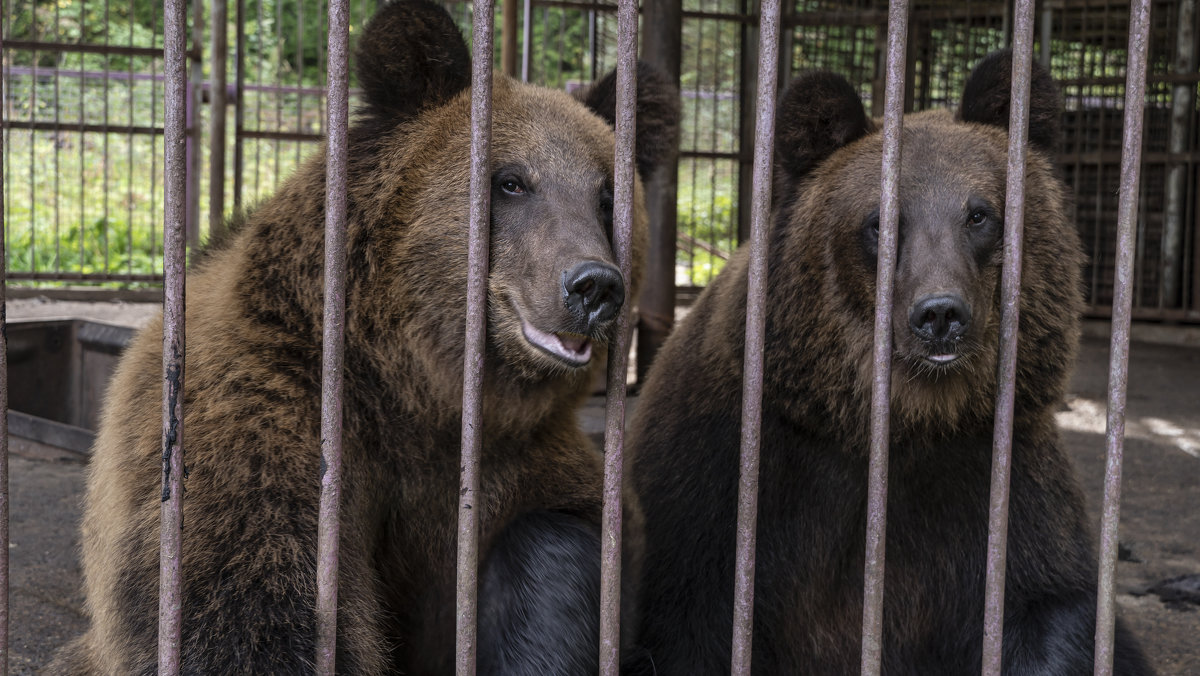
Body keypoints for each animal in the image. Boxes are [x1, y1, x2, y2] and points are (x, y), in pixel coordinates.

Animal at [49, 1, 676, 676]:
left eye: (607, 198)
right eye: (512, 181)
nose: (593, 287)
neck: (416, 388)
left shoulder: (522, 464)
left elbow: (563, 556)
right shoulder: (261, 429)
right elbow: (250, 609)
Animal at [628, 50, 1152, 672]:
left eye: (979, 215)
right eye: (881, 221)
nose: (940, 314)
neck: (902, 421)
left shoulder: (997, 474)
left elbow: (1050, 610)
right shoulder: (729, 479)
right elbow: (688, 620)